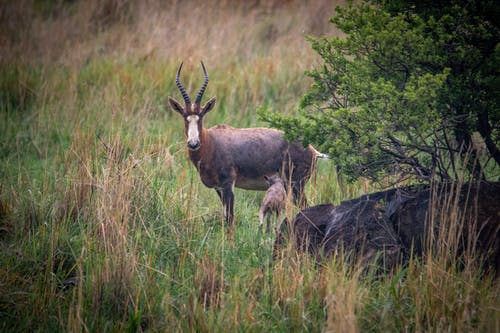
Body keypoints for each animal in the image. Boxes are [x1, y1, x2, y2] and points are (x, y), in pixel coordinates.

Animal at [166, 61, 326, 224]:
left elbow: (230, 217)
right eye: (185, 117)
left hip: (296, 186)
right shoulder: (218, 188)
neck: (211, 141)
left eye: (201, 116)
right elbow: (226, 216)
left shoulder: (228, 184)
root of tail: (312, 150)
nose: (193, 144)